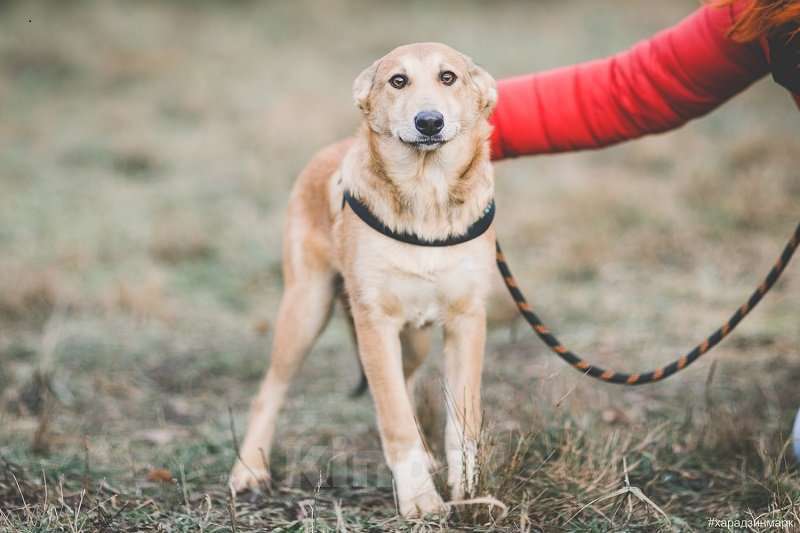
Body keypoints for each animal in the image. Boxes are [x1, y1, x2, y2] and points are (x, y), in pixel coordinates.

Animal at [228, 43, 496, 516]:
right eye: (398, 81)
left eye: (448, 77)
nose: (429, 122)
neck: (426, 196)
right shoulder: (375, 321)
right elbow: (394, 418)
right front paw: (420, 501)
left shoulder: (467, 319)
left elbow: (462, 421)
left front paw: (470, 492)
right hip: (306, 308)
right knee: (272, 388)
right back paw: (249, 469)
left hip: (415, 339)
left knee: (402, 382)